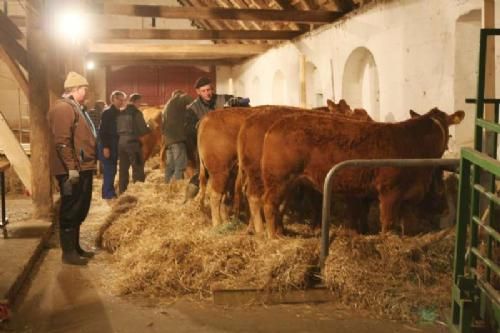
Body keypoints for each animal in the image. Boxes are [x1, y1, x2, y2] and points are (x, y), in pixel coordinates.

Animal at [262, 107, 464, 237]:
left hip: (290, 182)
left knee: (279, 207)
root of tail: (276, 125)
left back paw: (281, 231)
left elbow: (409, 222)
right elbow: (388, 222)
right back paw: (274, 236)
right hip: (279, 179)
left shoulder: (410, 195)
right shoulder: (390, 191)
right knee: (269, 204)